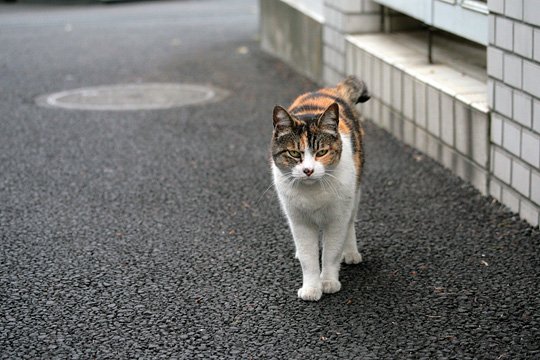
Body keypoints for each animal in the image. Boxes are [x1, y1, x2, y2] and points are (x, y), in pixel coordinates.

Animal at [272, 76, 370, 300]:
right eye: (294, 153)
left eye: (322, 152)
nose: (308, 170)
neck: (313, 193)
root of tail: (332, 90)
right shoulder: (298, 220)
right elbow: (308, 258)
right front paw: (311, 289)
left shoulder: (337, 218)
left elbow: (331, 253)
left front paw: (328, 282)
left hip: (355, 192)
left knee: (350, 223)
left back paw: (350, 253)